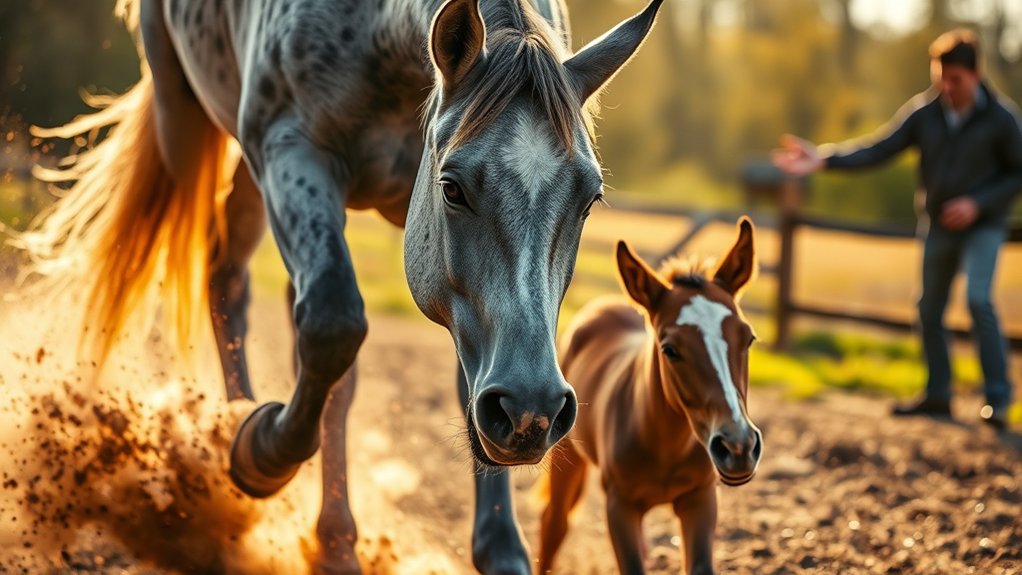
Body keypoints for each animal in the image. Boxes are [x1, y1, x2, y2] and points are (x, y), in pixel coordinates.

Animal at [20, 0, 667, 572]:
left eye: (590, 199)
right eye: (452, 187)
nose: (533, 411)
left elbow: (454, 373)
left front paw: (502, 550)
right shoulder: (293, 151)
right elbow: (334, 323)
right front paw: (260, 452)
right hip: (191, 123)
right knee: (225, 280)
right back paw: (234, 435)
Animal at [537, 218, 763, 575]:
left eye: (749, 338)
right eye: (670, 349)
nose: (738, 447)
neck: (664, 445)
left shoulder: (700, 499)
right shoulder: (620, 507)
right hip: (568, 457)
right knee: (554, 525)